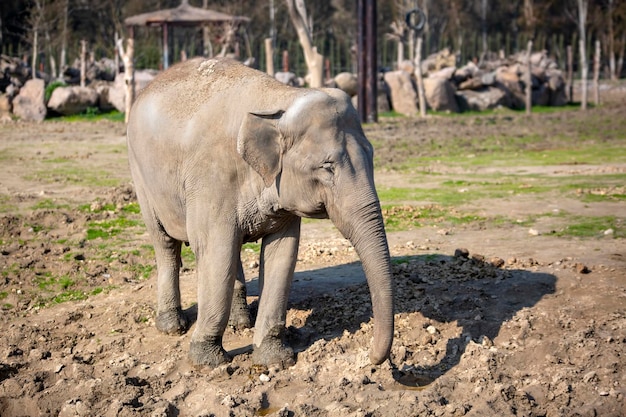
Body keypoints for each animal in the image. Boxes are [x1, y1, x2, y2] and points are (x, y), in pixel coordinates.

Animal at [124, 56, 392, 368]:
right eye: (328, 167)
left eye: (372, 155)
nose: (372, 357)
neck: (280, 98)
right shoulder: (211, 177)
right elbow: (216, 252)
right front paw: (209, 362)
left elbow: (282, 253)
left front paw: (274, 359)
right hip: (141, 176)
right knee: (166, 244)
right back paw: (172, 326)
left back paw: (241, 323)